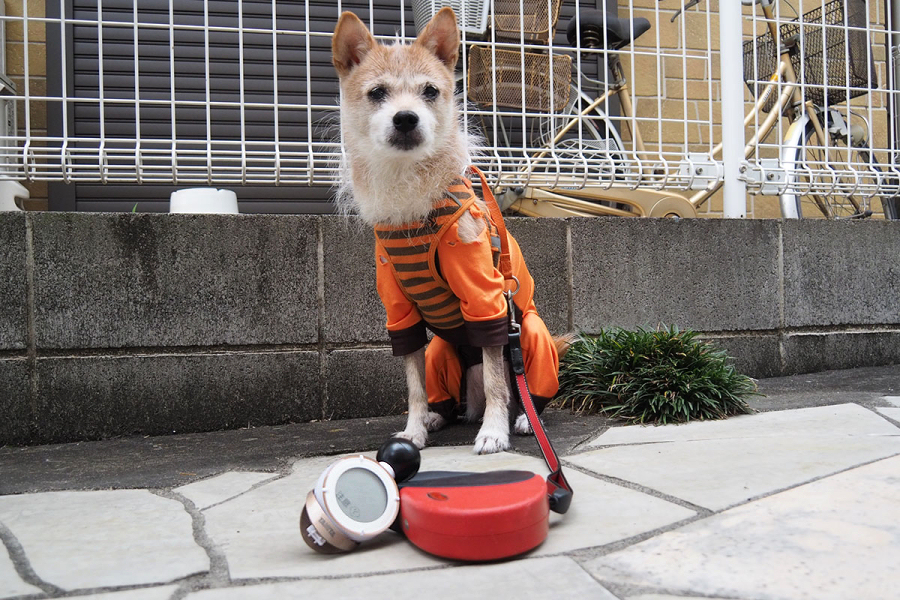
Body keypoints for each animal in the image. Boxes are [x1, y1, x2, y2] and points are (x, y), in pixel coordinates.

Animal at [334, 8, 568, 454]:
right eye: (377, 93)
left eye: (429, 91)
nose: (406, 118)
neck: (409, 187)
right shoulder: (400, 312)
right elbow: (414, 386)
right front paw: (413, 429)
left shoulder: (486, 300)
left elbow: (497, 383)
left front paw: (494, 432)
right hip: (441, 350)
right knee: (448, 396)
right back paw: (438, 416)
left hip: (528, 330)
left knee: (521, 390)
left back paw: (523, 419)